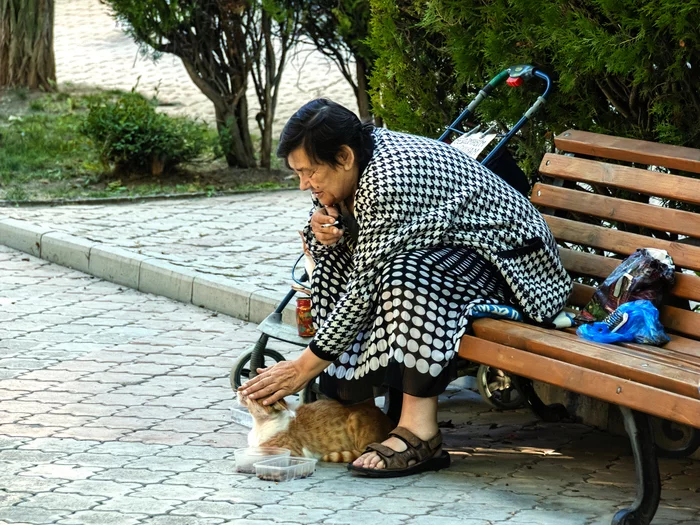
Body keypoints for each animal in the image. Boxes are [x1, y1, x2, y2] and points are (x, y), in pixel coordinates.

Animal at [238, 390, 394, 460]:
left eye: (250, 392)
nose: (239, 389)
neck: (259, 425)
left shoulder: (292, 452)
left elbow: (262, 449)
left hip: (356, 423)